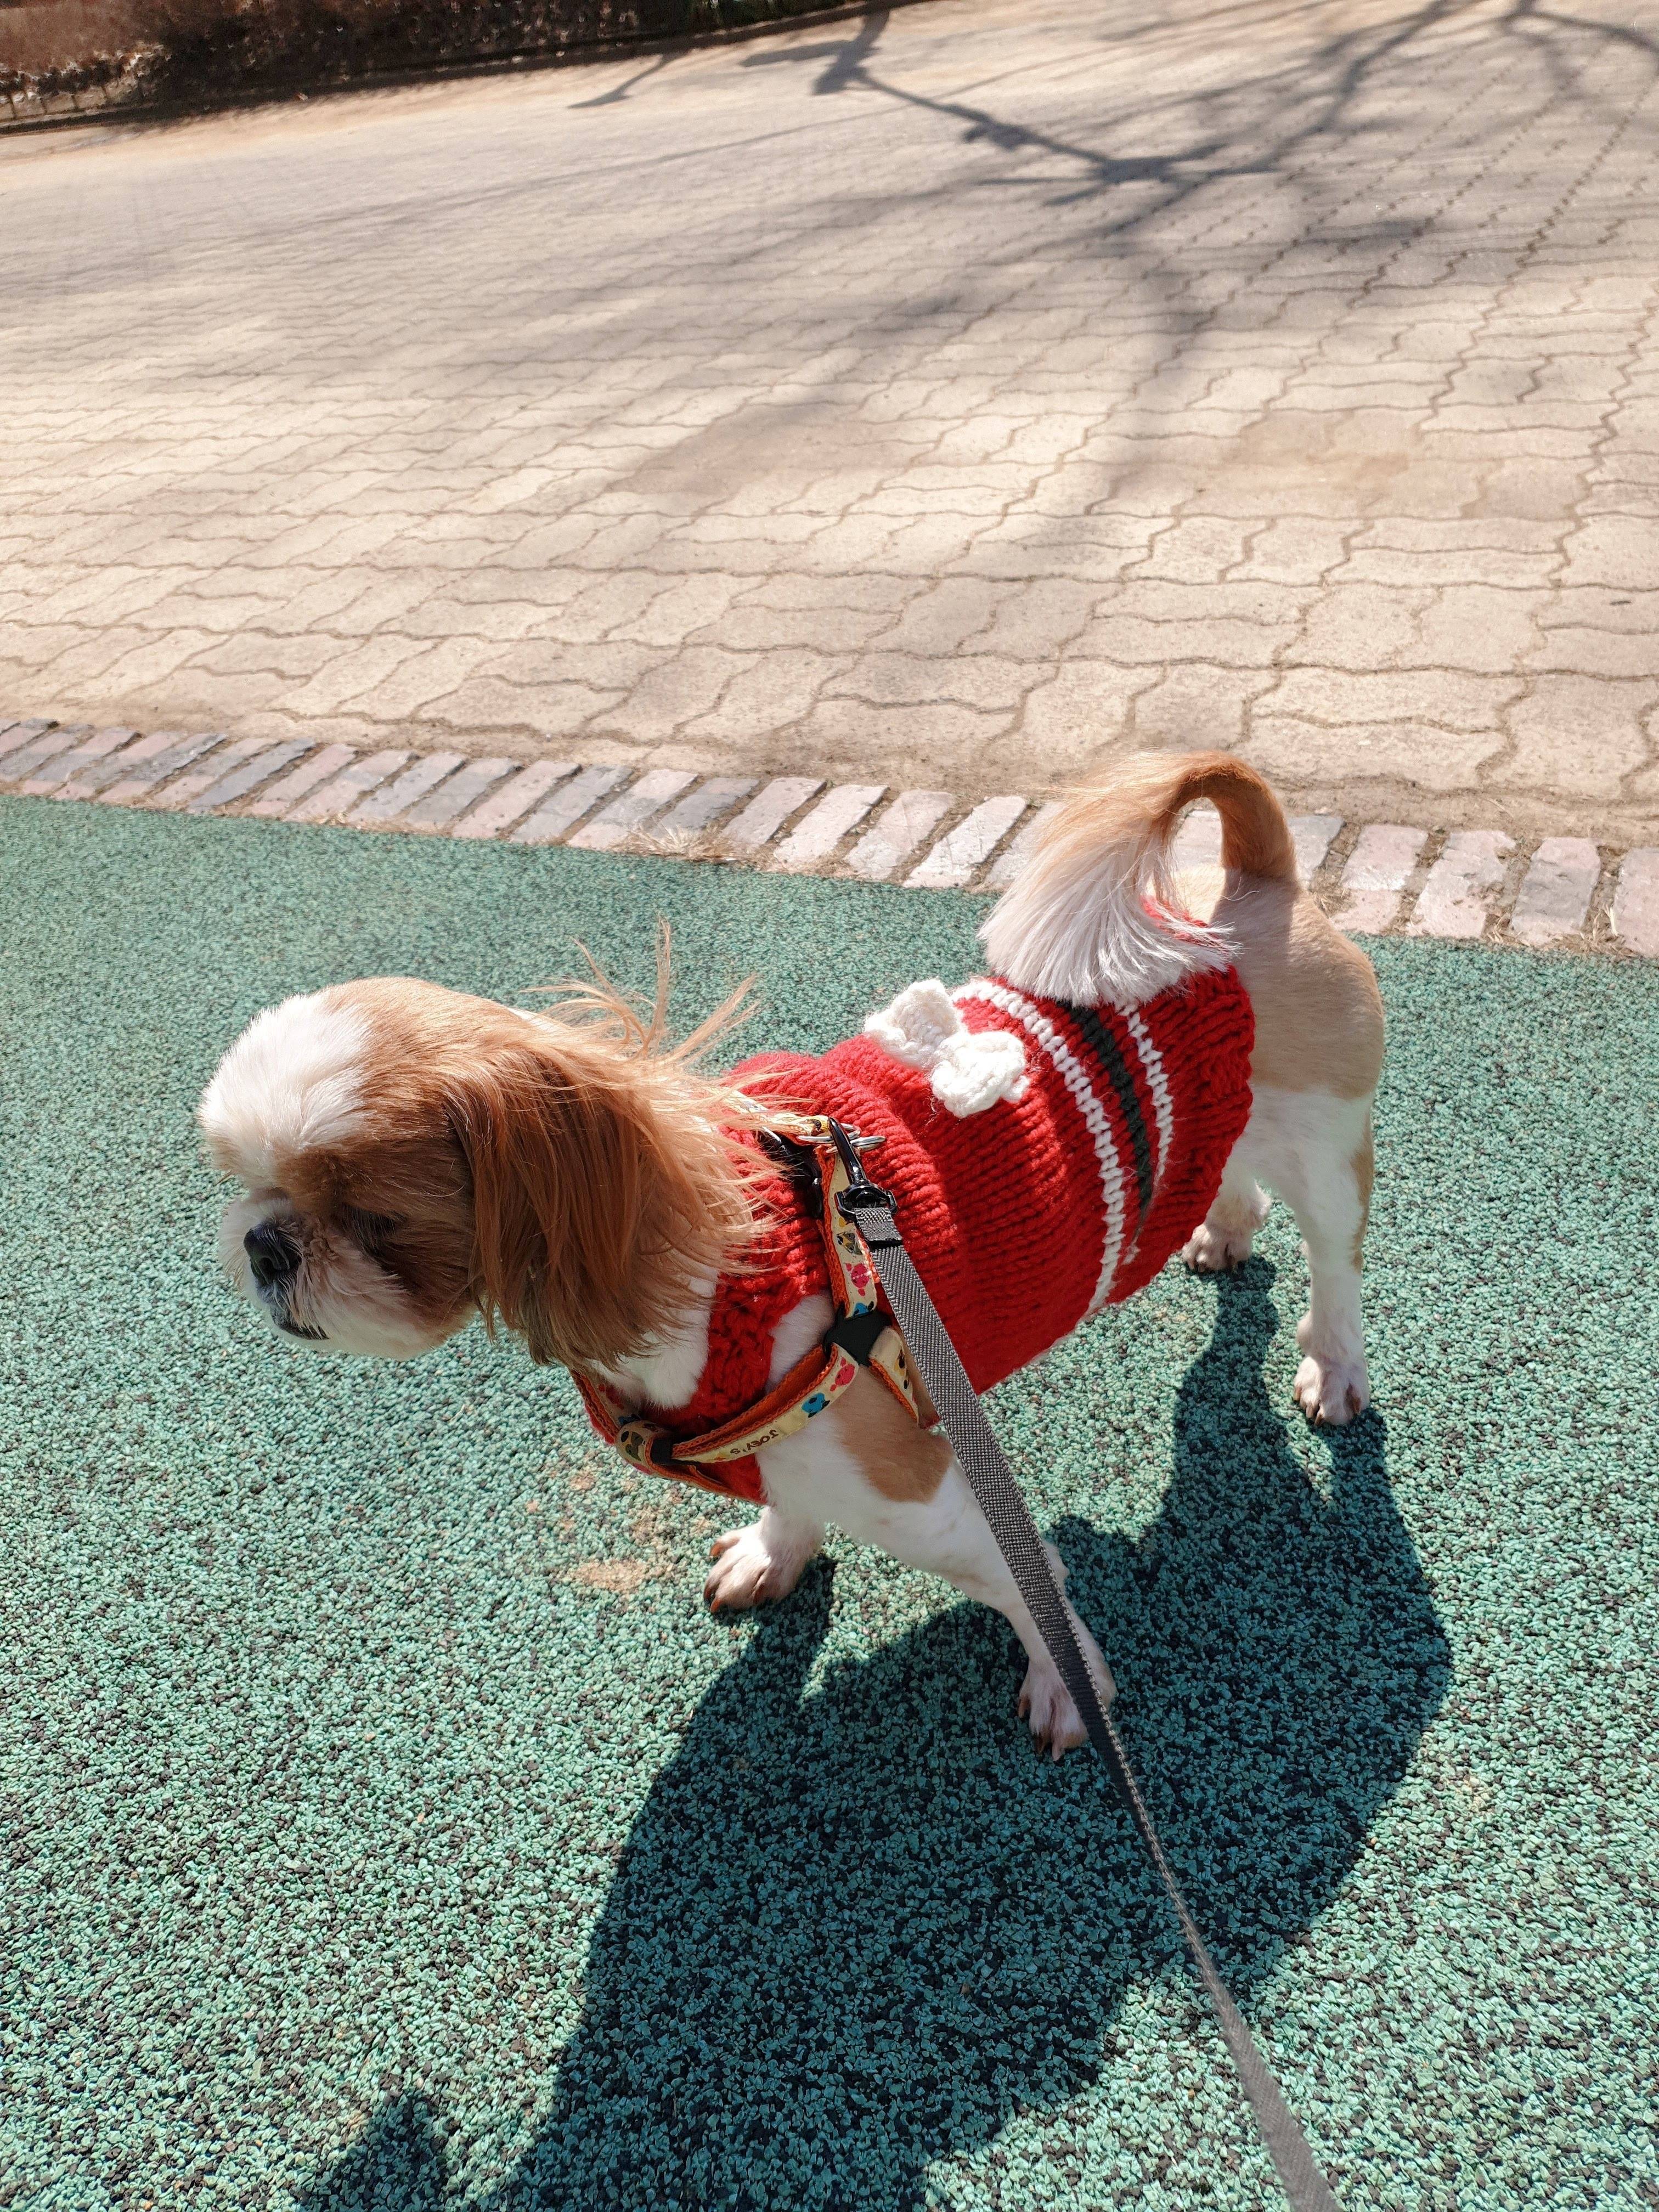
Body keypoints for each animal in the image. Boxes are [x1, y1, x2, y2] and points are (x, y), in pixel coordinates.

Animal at [201, 752, 1380, 1752]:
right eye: (245, 1185)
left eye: (373, 1217)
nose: (263, 1245)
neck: (718, 1280)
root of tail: (1250, 883)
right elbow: (792, 1503)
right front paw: (777, 1551)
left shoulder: (926, 1492)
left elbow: (1025, 1579)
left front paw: (1066, 1680)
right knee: (1235, 1178)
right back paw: (1220, 1230)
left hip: (1327, 1151)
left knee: (1334, 1264)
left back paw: (1331, 1365)